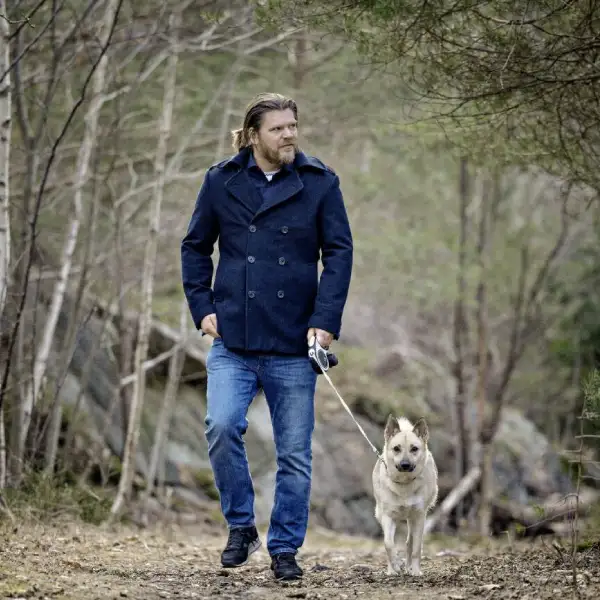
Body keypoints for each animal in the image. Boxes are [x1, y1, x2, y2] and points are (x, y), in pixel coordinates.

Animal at [372, 412, 438, 576]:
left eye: (414, 448)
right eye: (396, 448)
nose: (405, 465)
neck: (404, 484)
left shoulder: (419, 516)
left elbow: (416, 548)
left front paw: (415, 571)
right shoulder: (388, 516)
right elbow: (388, 544)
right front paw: (395, 566)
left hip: (413, 519)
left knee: (410, 542)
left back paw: (409, 568)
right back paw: (392, 570)